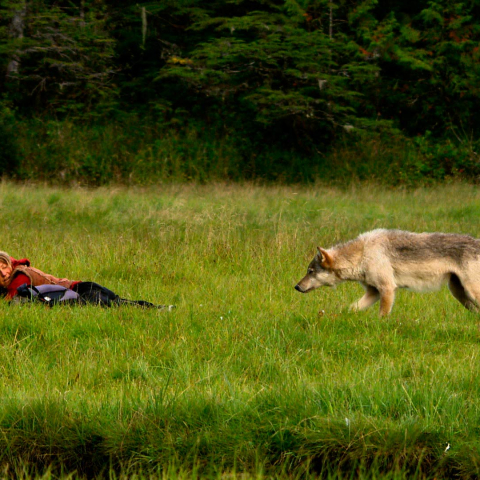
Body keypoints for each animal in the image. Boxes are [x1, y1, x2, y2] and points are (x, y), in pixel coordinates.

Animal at [294, 229, 480, 316]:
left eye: (310, 271)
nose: (296, 287)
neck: (362, 254)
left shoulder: (387, 289)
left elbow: (382, 315)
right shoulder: (373, 292)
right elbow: (351, 308)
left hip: (470, 292)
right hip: (459, 293)